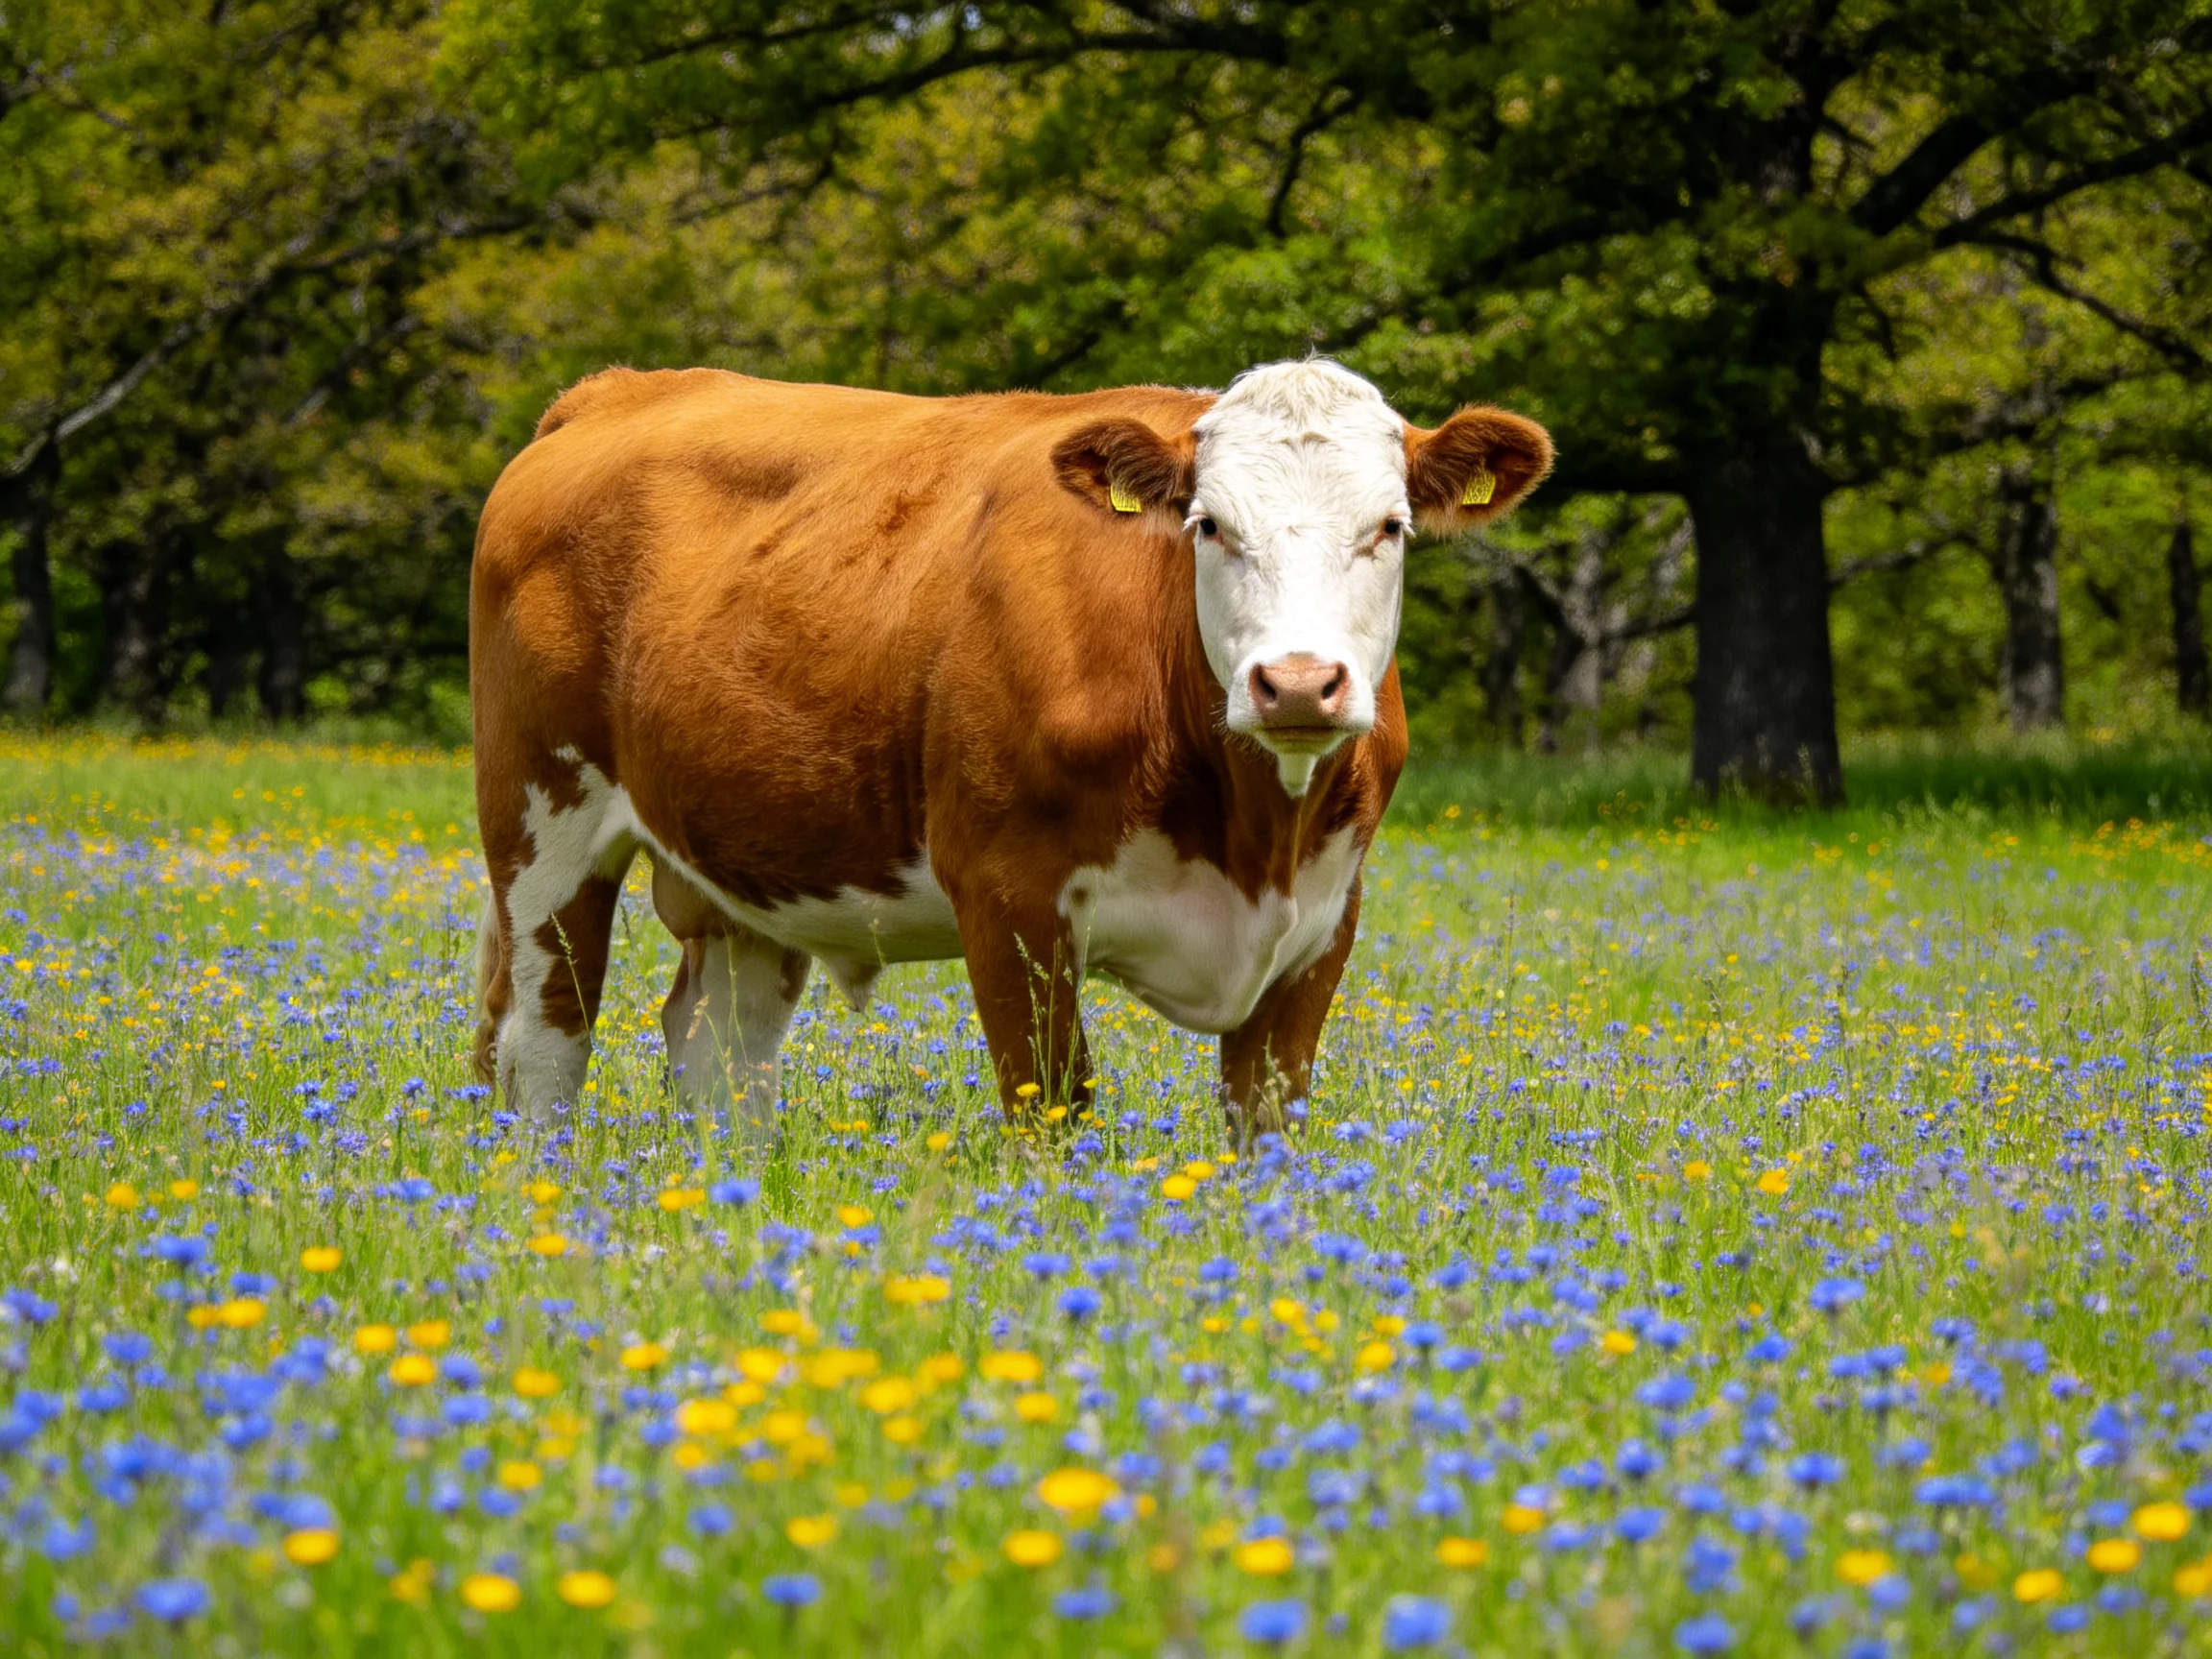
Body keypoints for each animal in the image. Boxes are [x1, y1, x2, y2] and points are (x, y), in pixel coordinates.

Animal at [469, 360, 1551, 1143]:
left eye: (1390, 527)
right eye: (1208, 525)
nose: (1294, 683)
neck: (1253, 836)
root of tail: (614, 390)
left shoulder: (1324, 922)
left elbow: (1268, 1130)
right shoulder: (1007, 898)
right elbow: (1052, 1119)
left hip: (745, 862)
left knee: (719, 1051)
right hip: (539, 824)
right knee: (543, 1042)